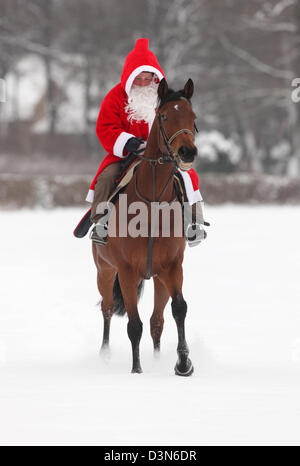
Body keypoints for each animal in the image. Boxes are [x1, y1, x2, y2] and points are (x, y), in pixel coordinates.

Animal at [92, 76, 198, 374]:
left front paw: (183, 362)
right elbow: (133, 325)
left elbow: (178, 309)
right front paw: (137, 370)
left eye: (193, 117)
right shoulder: (127, 271)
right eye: (163, 116)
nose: (187, 151)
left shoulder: (172, 266)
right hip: (104, 271)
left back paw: (158, 359)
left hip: (158, 277)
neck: (152, 203)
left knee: (157, 321)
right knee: (107, 309)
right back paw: (104, 355)